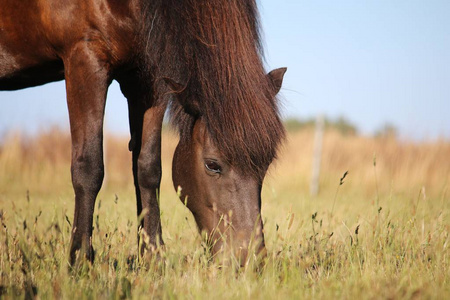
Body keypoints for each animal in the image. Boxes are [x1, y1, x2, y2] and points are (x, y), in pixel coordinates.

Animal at [0, 0, 286, 266]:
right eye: (212, 165)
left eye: (266, 164)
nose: (250, 260)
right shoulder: (84, 57)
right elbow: (89, 168)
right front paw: (80, 260)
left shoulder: (148, 77)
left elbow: (148, 170)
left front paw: (153, 259)